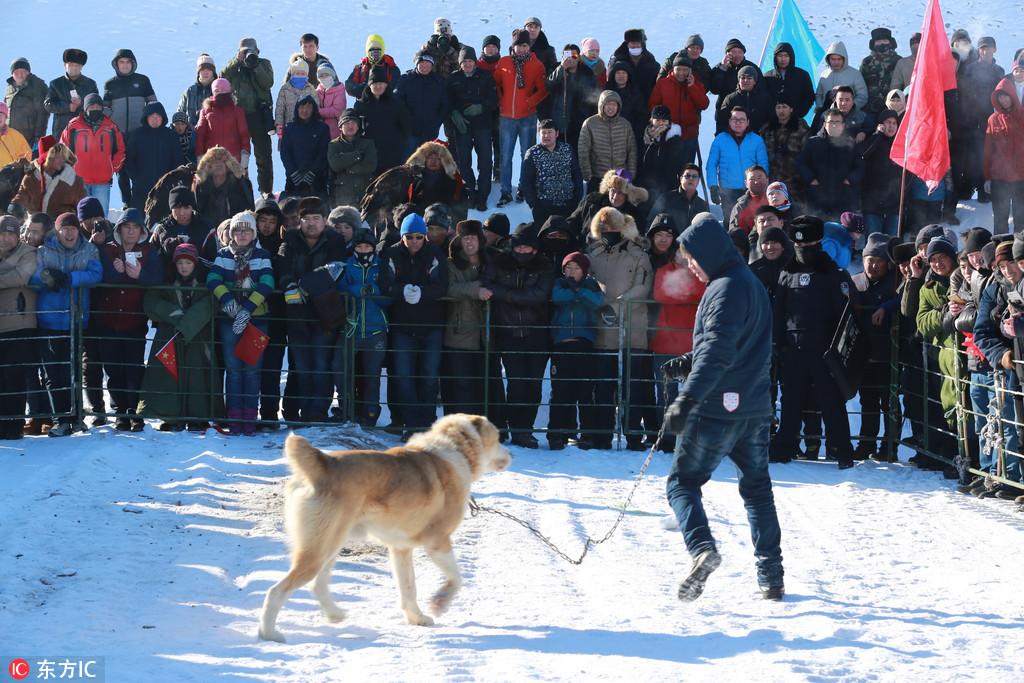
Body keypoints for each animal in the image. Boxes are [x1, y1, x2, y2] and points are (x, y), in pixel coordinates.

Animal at [256, 413, 512, 643]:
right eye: (498, 438)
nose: (511, 455)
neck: (457, 450)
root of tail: (323, 464)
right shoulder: (438, 542)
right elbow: (456, 578)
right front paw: (440, 602)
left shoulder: (400, 549)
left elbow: (408, 589)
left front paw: (416, 619)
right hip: (319, 550)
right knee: (276, 591)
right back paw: (269, 634)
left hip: (330, 545)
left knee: (317, 585)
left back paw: (335, 615)